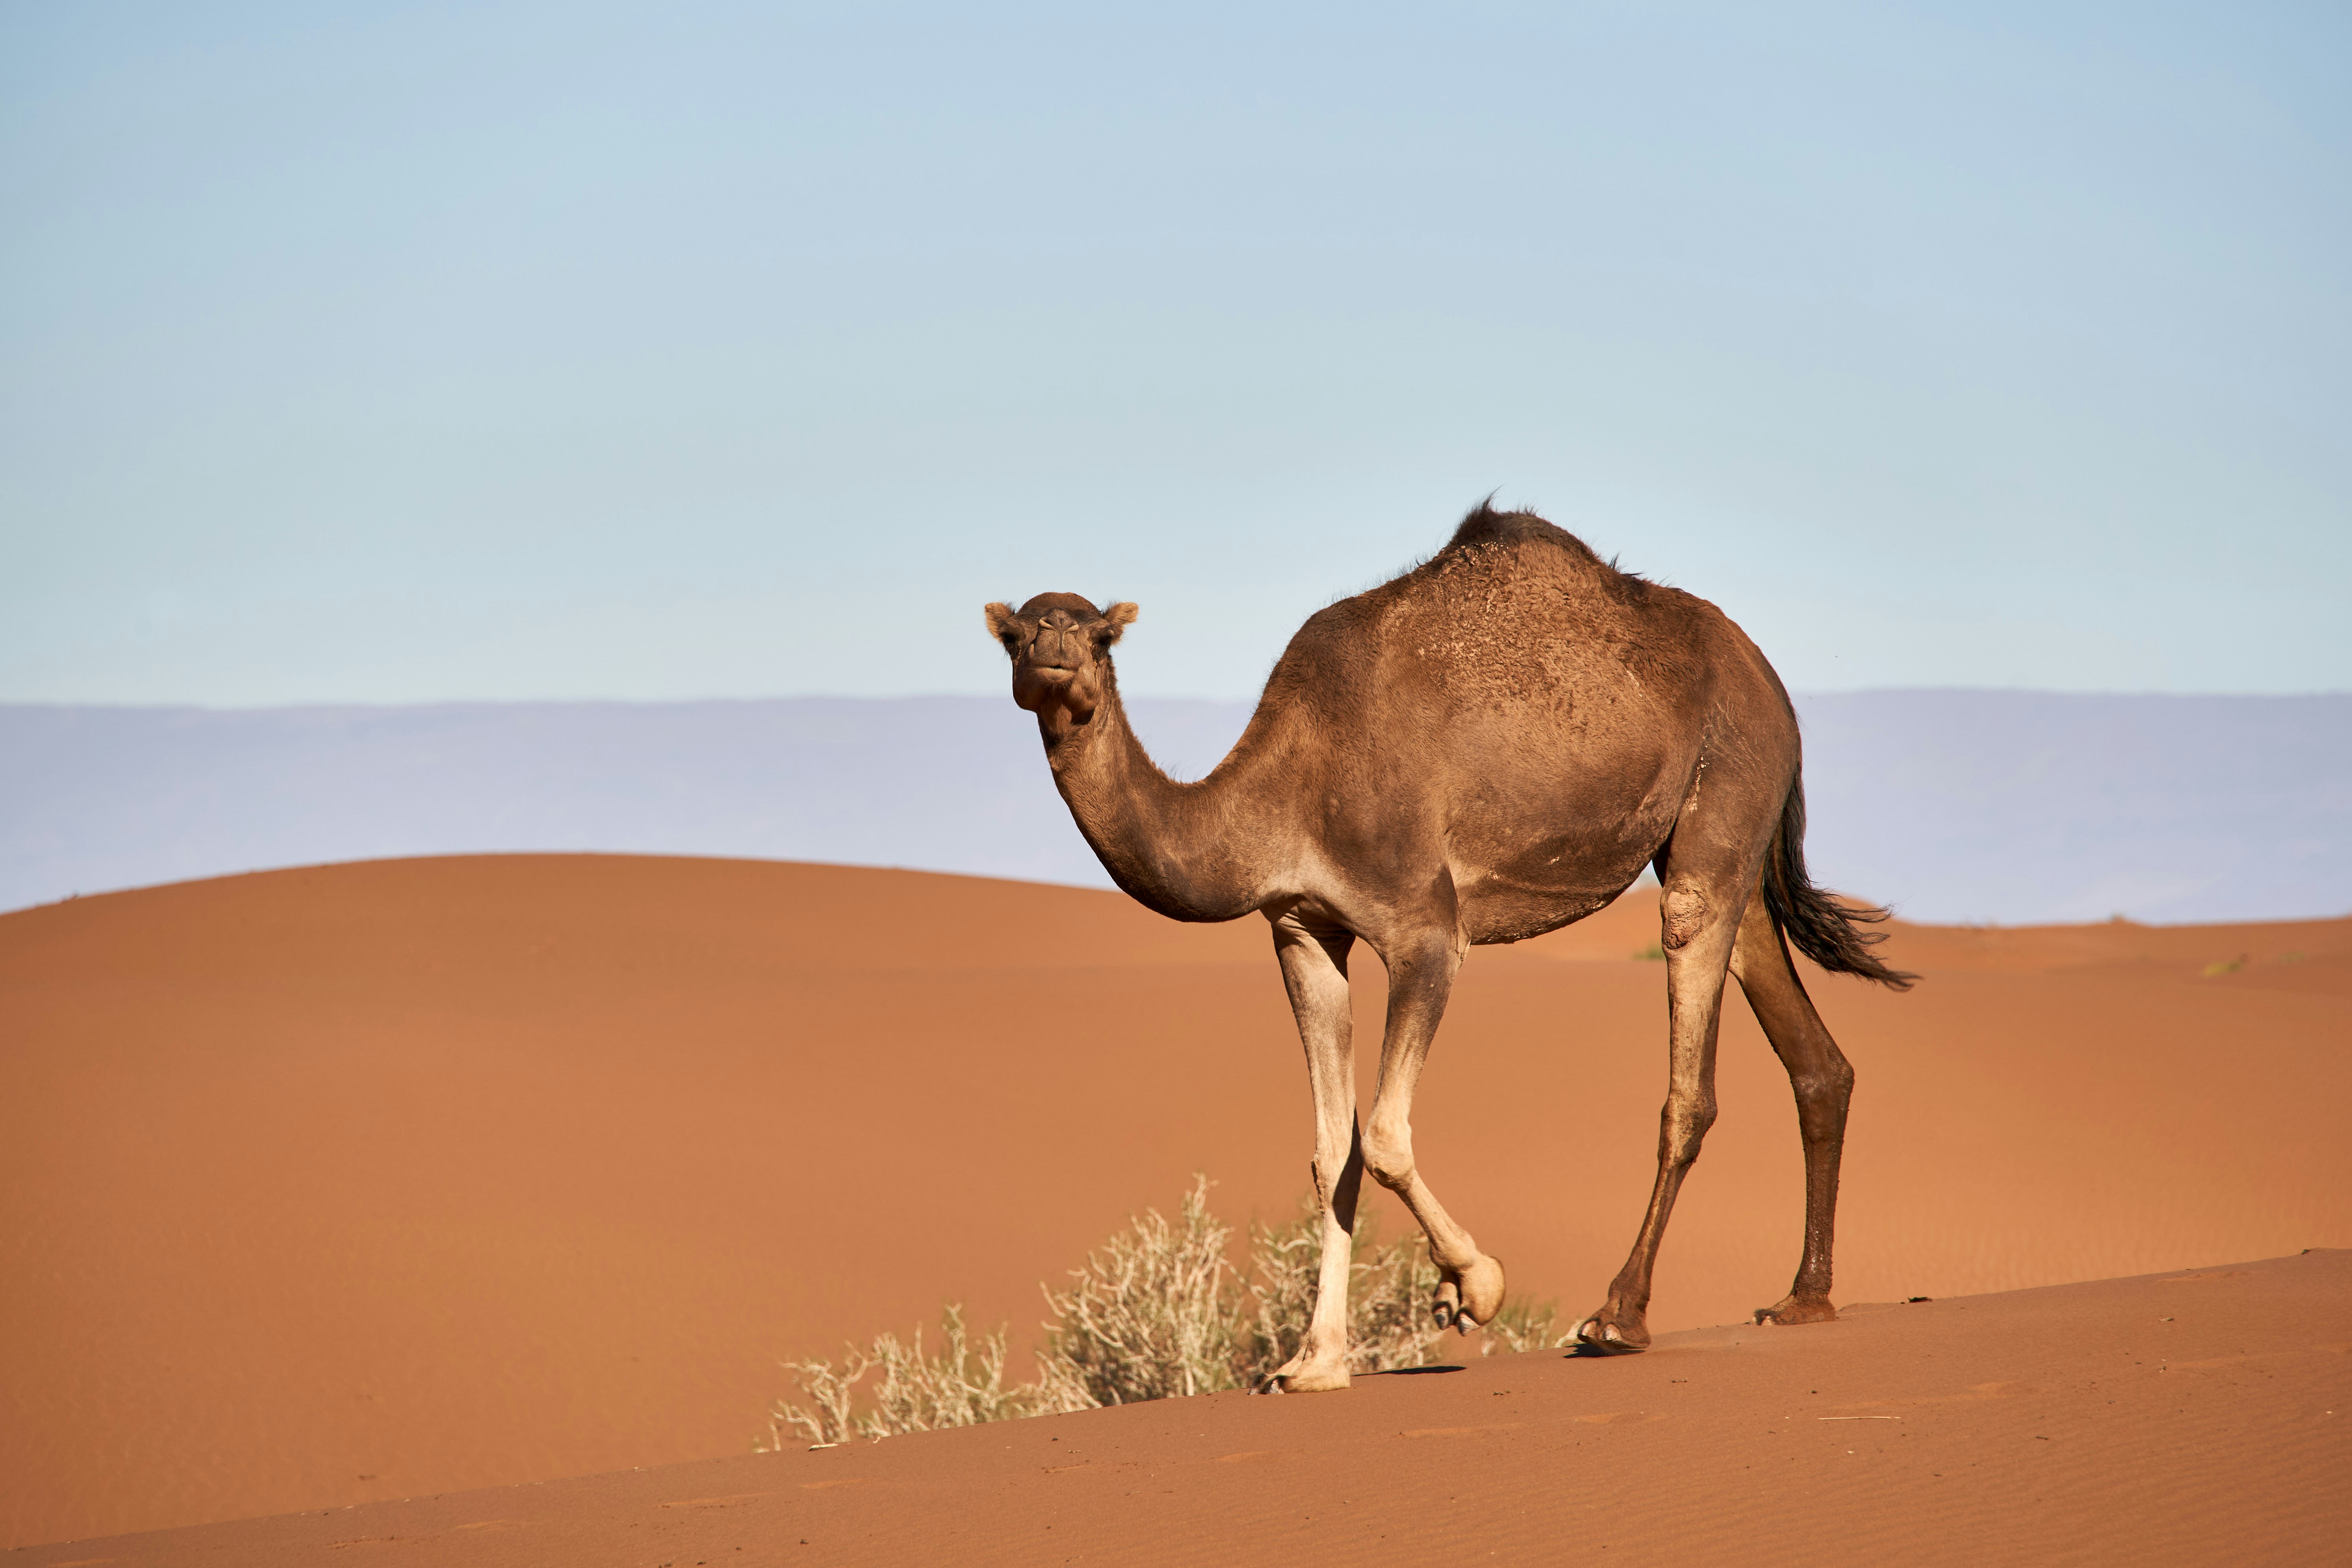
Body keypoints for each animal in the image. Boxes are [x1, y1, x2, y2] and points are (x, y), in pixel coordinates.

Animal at [984, 502, 1912, 1390]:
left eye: (1098, 634)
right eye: (1015, 633)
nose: (1054, 654)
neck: (1286, 790)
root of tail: (1768, 678)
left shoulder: (1426, 930)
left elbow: (1386, 1137)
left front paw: (1473, 1285)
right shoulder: (1302, 931)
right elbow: (1332, 1152)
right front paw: (1314, 1362)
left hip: (1725, 785)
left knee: (1689, 1067)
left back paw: (1617, 1316)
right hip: (1726, 844)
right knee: (1815, 1055)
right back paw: (1802, 1299)